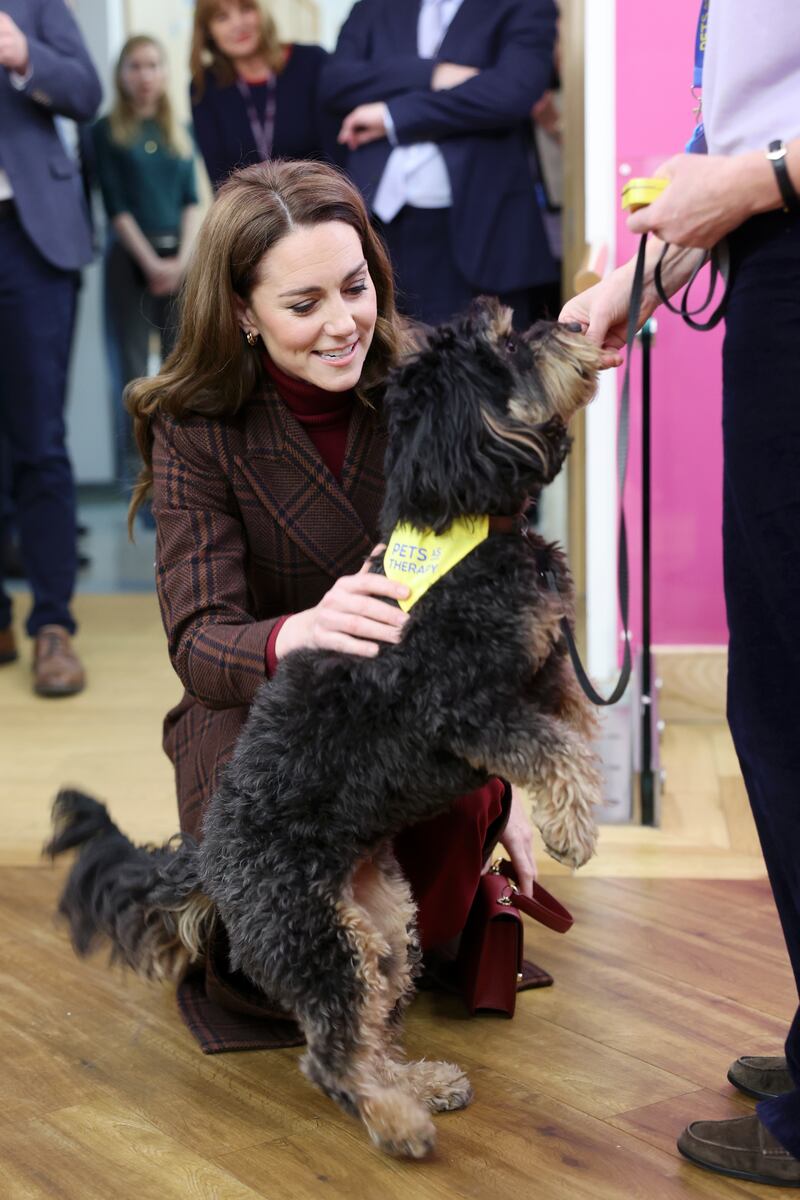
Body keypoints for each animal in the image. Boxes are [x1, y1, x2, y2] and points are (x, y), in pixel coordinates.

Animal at [47, 295, 604, 1156]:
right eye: (508, 344)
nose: (574, 327)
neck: (462, 526)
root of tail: (209, 858)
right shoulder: (459, 706)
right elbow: (551, 745)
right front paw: (573, 828)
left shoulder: (542, 663)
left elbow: (575, 724)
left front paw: (567, 815)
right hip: (312, 935)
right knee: (332, 1053)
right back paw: (396, 1121)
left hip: (383, 927)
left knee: (373, 1024)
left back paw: (416, 1081)